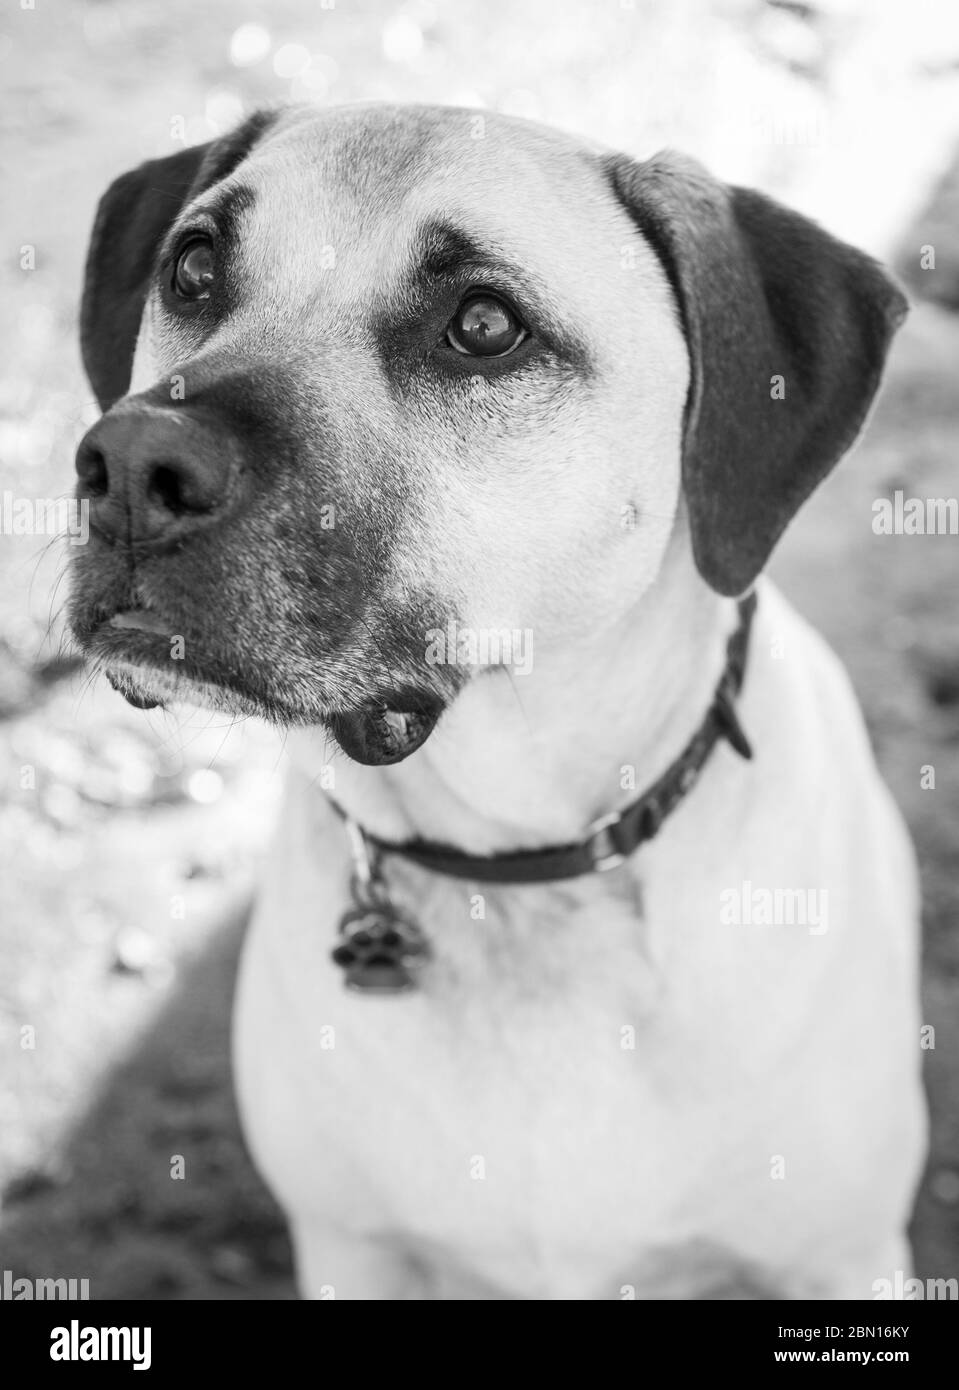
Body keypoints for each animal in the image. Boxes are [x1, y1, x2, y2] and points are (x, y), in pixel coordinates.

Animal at [70, 102, 922, 1295]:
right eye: (192, 268)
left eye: (482, 325)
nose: (132, 468)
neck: (521, 866)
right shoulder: (351, 1248)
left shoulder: (841, 1257)